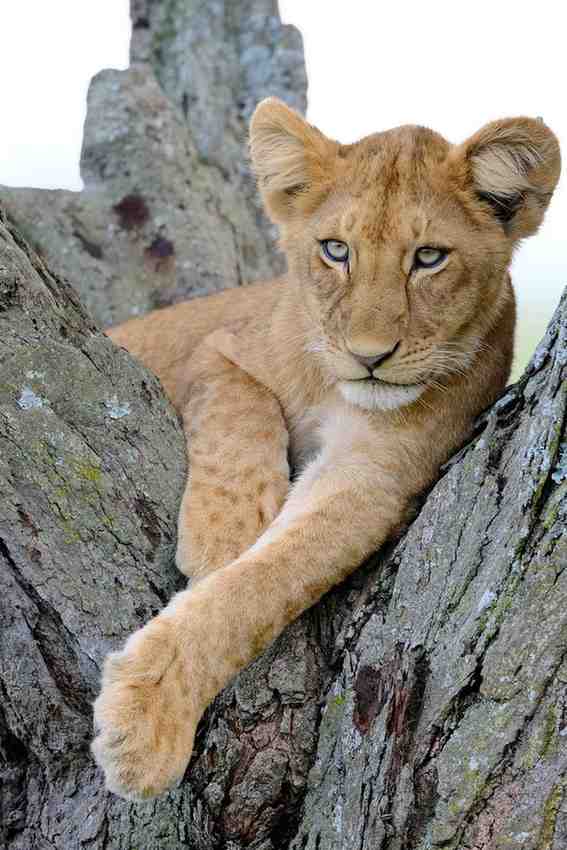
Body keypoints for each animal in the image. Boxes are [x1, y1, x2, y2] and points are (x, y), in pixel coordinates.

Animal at [91, 98, 561, 798]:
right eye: (335, 250)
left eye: (429, 257)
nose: (370, 357)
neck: (336, 392)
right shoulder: (213, 347)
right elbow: (242, 403)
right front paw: (225, 533)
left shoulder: (374, 475)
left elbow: (264, 582)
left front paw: (148, 718)